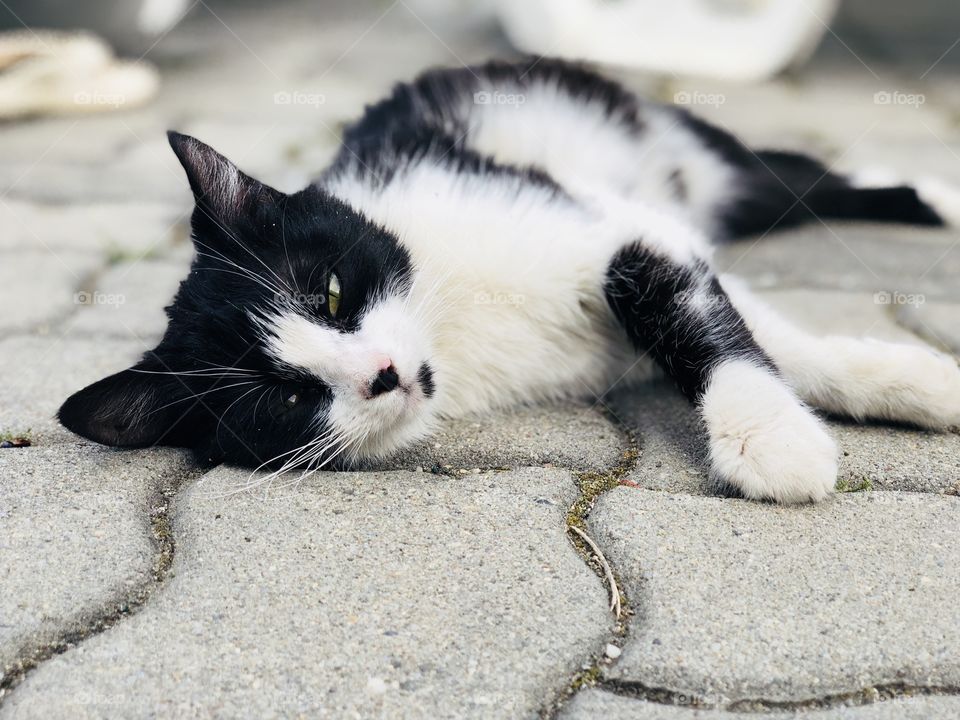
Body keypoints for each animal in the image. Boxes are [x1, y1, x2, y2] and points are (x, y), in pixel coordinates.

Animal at [60, 59, 960, 504]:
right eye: (285, 398)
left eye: (332, 294)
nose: (380, 374)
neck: (454, 319)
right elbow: (767, 336)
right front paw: (899, 383)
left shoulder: (615, 226)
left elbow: (699, 317)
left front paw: (770, 433)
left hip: (695, 156)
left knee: (799, 178)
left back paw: (934, 195)